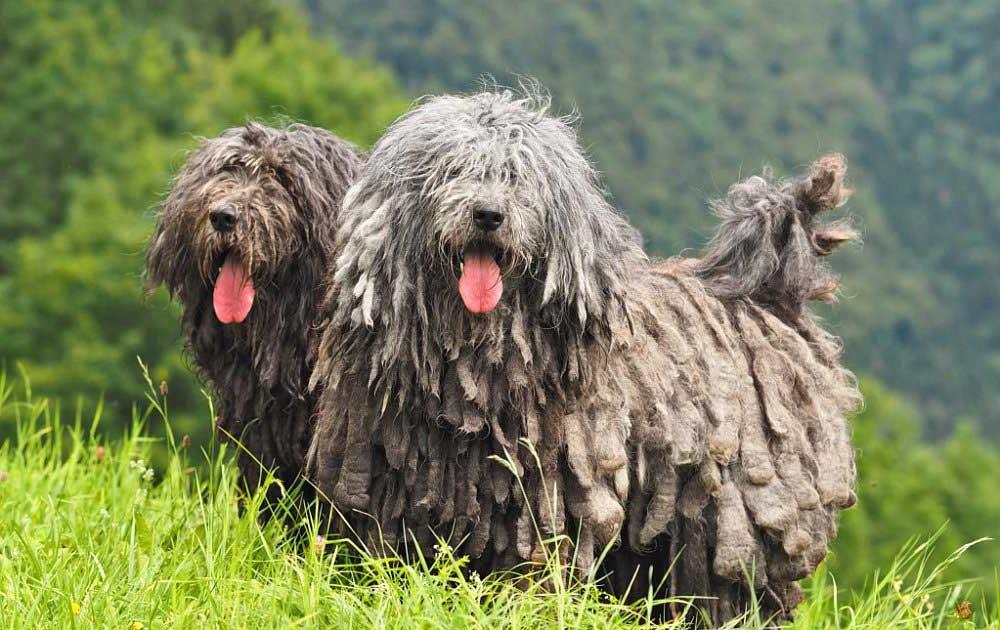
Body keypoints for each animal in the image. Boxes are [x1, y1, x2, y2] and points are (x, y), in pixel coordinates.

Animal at [304, 90, 860, 628]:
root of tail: (771, 297)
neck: (475, 371)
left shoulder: (546, 497)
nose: (488, 214)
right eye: (455, 170)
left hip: (742, 509)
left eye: (519, 179)